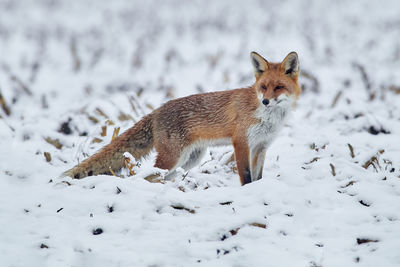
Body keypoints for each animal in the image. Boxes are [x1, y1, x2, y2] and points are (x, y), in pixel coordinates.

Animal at [63, 52, 300, 186]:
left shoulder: (261, 146)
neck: (266, 116)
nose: (266, 101)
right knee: (148, 176)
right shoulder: (241, 142)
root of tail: (156, 111)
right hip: (173, 157)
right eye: (263, 87)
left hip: (188, 159)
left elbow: (257, 176)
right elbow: (246, 175)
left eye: (279, 87)